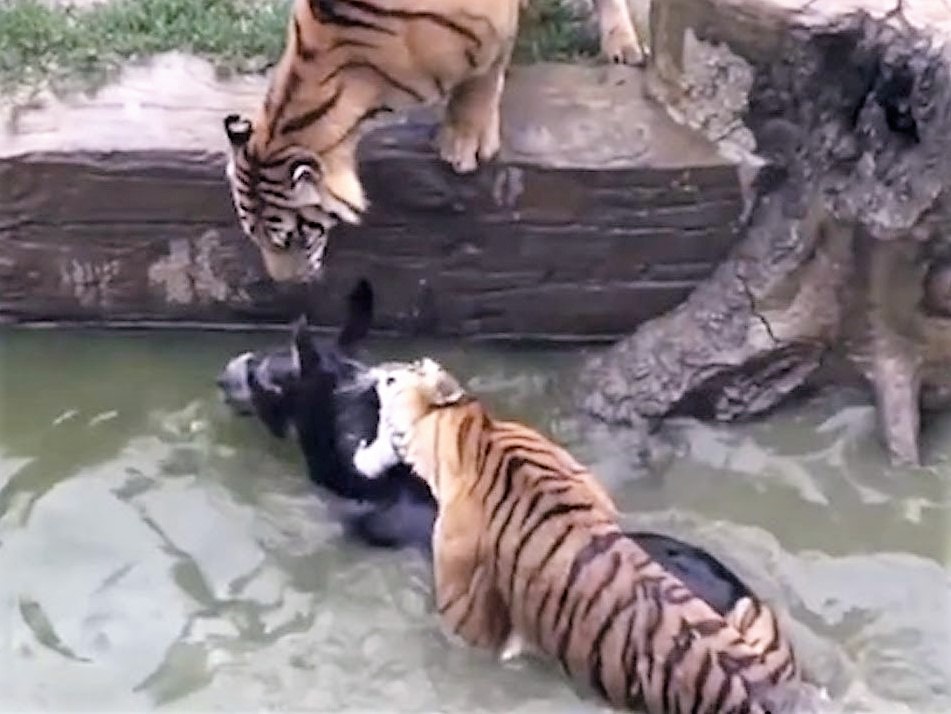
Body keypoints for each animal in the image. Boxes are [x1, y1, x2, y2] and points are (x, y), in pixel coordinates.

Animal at [222, 0, 645, 282]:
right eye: (255, 237)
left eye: (294, 237)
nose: (285, 283)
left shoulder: (491, 26)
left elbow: (482, 78)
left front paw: (464, 141)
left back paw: (623, 44)